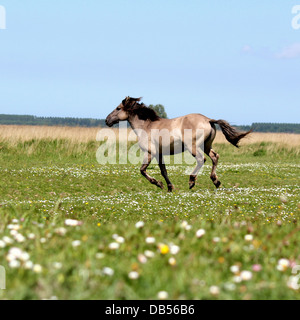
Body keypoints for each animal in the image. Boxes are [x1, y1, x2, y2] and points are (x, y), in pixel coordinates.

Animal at [105, 96, 251, 191]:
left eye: (118, 108)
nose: (107, 120)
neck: (146, 126)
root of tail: (208, 120)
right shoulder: (159, 154)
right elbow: (163, 171)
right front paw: (169, 187)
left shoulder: (150, 152)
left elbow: (142, 170)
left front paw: (158, 184)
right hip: (206, 146)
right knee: (215, 157)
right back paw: (216, 181)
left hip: (193, 147)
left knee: (201, 159)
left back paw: (192, 181)